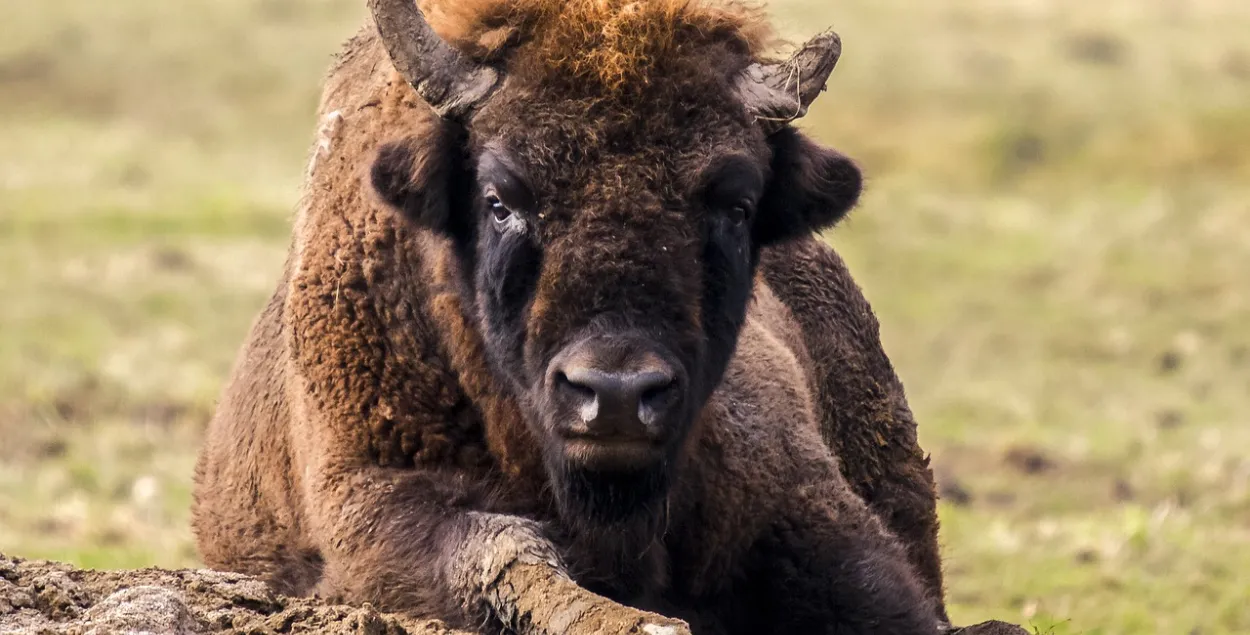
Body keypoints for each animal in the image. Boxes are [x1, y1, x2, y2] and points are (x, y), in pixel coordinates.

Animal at [192, 1, 975, 635]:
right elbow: (508, 551)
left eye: (736, 203)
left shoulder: (801, 500)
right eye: (500, 198)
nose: (618, 394)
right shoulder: (370, 497)